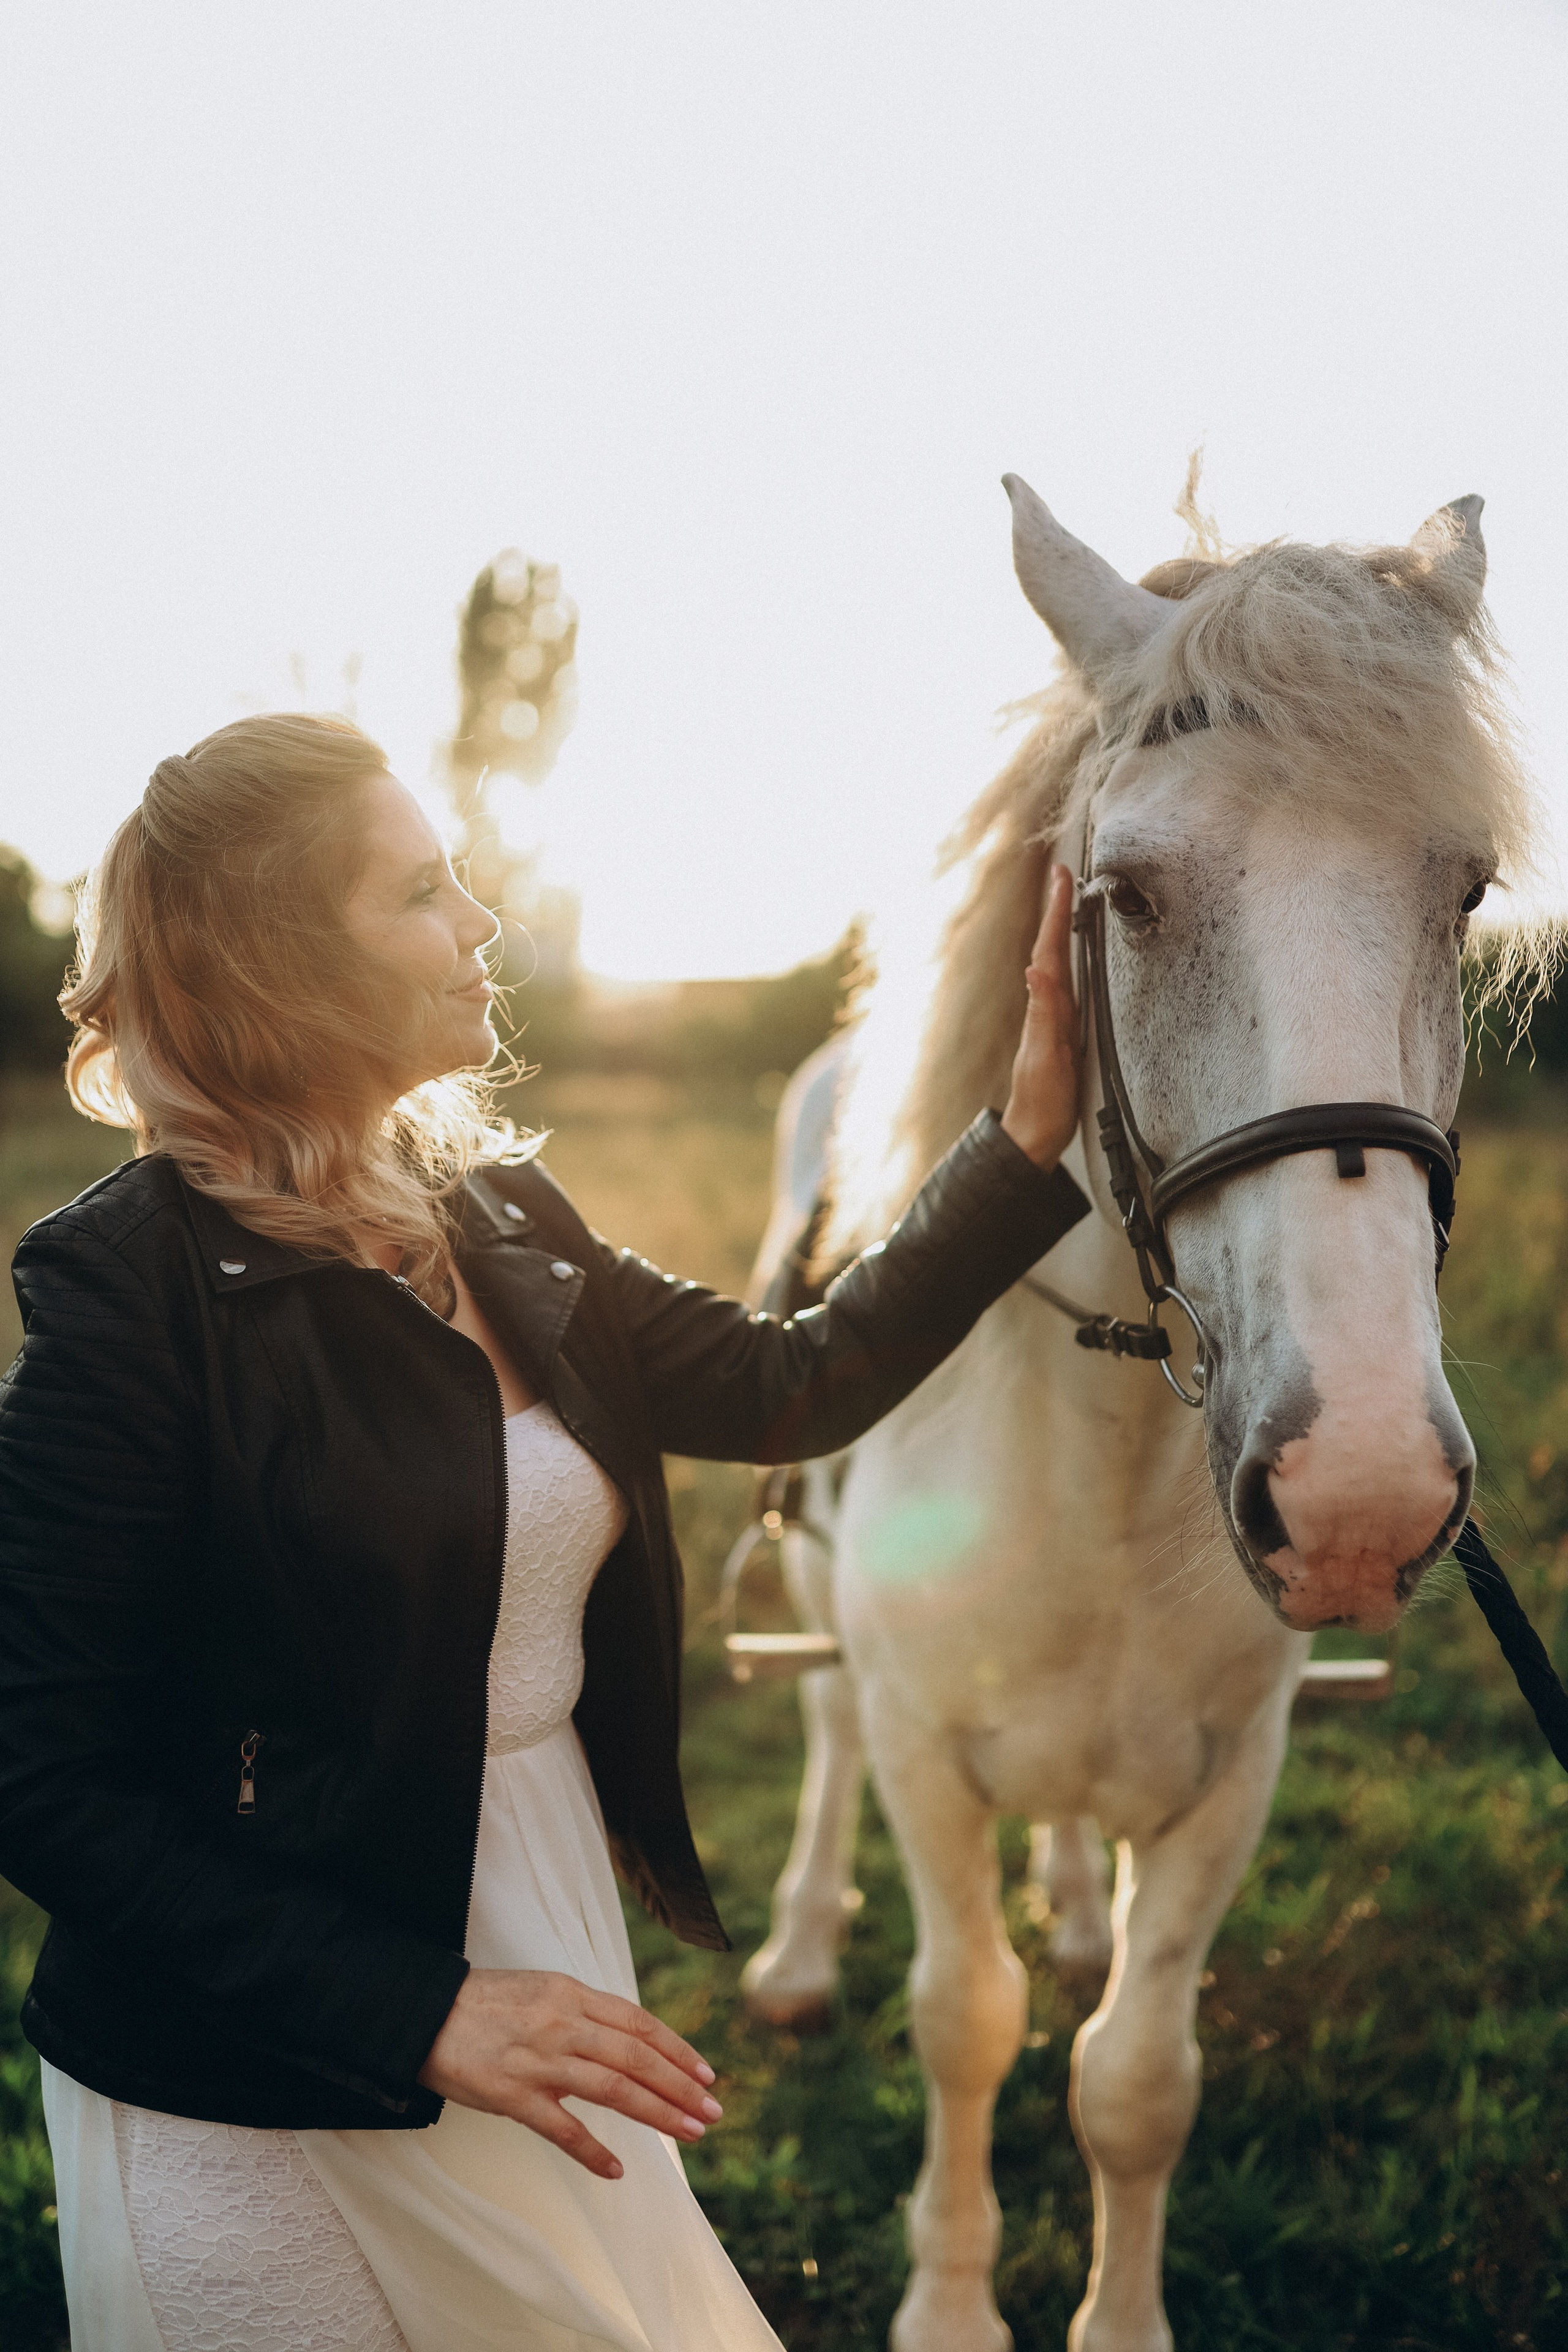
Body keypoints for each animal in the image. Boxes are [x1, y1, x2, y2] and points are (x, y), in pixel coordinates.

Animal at [735, 477, 1537, 2352]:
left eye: (1462, 891)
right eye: (1125, 895)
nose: (1360, 1492)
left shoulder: (1232, 1779)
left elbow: (1135, 2077)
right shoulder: (922, 1755)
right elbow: (962, 2015)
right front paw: (950, 2305)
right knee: (818, 1735)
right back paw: (798, 1950)